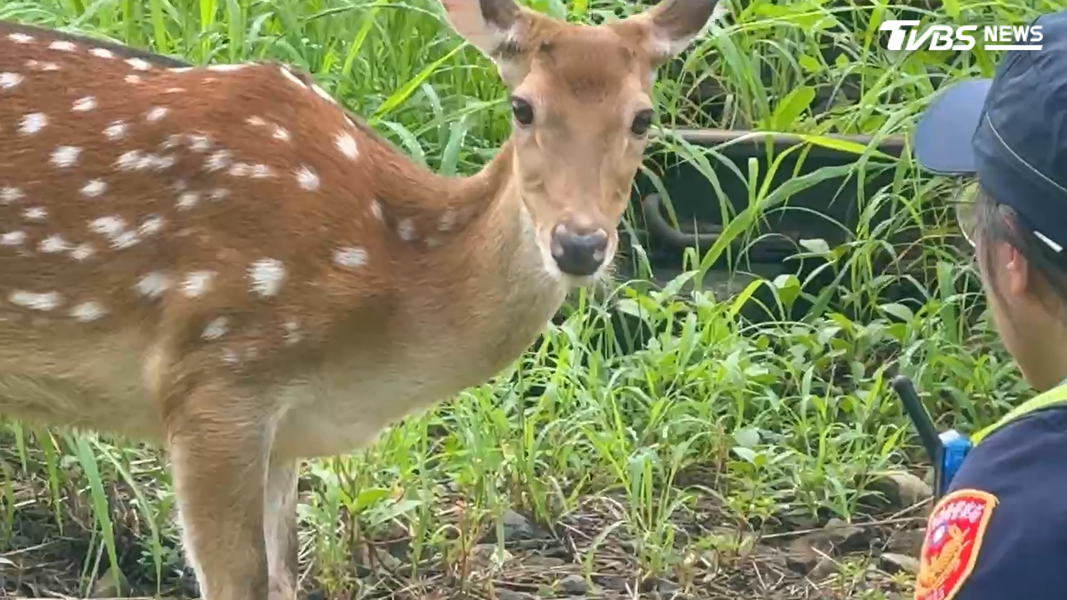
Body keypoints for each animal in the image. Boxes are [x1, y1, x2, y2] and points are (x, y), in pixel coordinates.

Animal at [0, 0, 721, 597]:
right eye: (523, 107)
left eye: (643, 118)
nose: (578, 244)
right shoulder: (214, 372)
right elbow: (240, 582)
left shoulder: (283, 427)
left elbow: (285, 577)